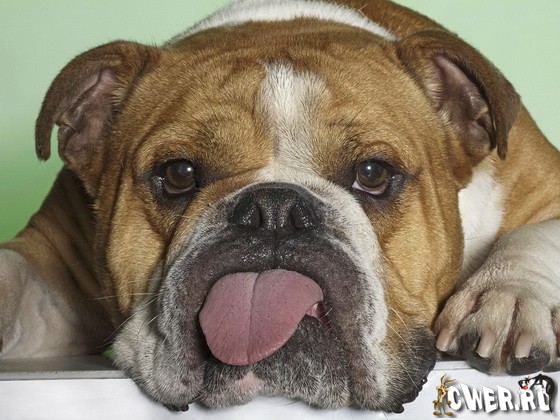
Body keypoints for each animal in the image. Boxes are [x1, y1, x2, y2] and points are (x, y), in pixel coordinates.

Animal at [1, 0, 559, 413]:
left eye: (373, 174)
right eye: (178, 175)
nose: (273, 209)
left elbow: (537, 235)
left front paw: (508, 296)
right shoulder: (53, 270)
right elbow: (19, 279)